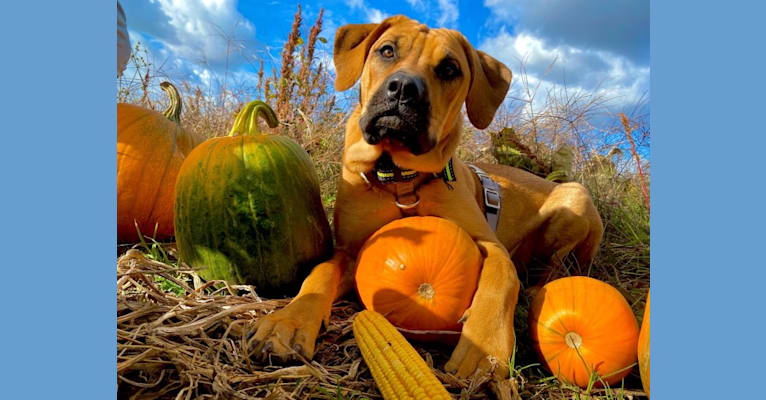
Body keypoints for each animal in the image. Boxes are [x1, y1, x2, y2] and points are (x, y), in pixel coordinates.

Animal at [249, 14, 604, 378]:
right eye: (387, 51)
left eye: (449, 69)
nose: (404, 88)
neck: (400, 180)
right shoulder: (350, 251)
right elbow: (319, 274)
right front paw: (288, 322)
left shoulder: (491, 245)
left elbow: (501, 279)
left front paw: (485, 347)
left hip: (574, 199)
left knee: (556, 266)